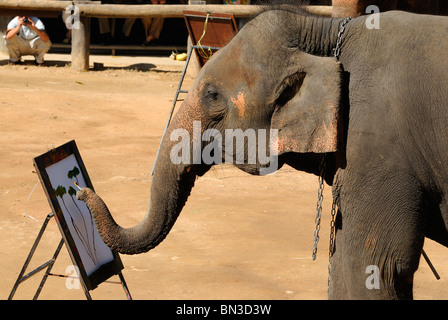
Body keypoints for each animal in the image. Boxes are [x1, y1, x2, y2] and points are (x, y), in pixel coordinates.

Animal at [78, 5, 448, 298]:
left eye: (212, 95)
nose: (81, 191)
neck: (325, 34)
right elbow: (341, 260)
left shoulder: (379, 151)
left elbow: (374, 267)